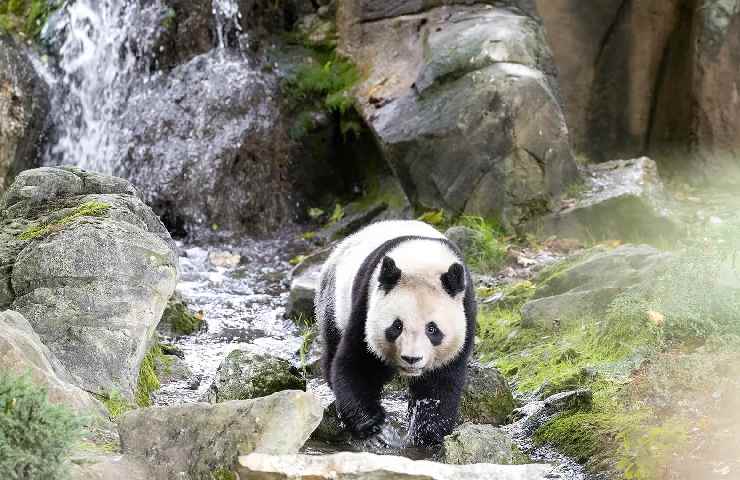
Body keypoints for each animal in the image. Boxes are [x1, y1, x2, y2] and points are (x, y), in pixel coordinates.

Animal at [316, 220, 476, 446]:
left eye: (432, 329)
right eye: (397, 326)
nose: (411, 359)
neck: (421, 259)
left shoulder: (465, 311)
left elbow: (440, 381)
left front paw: (427, 433)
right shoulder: (365, 302)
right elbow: (360, 363)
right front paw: (373, 426)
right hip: (334, 298)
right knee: (332, 341)